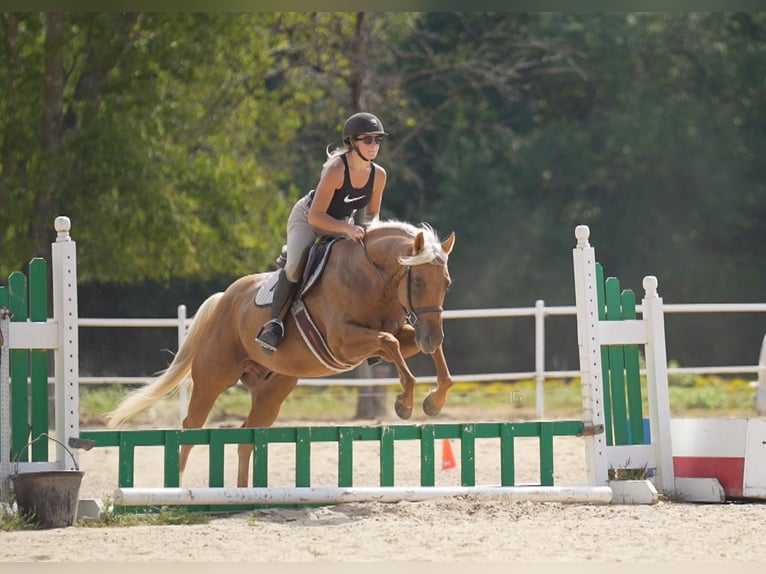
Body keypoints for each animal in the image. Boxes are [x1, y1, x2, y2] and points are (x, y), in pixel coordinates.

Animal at [106, 219, 456, 487]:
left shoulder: (402, 334)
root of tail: (223, 300)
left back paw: (242, 493)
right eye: (419, 281)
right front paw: (405, 403)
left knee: (247, 436)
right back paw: (177, 487)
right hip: (213, 379)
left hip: (271, 392)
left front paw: (434, 401)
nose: (431, 334)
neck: (371, 277)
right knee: (191, 429)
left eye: (447, 284)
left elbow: (418, 348)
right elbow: (390, 343)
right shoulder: (344, 341)